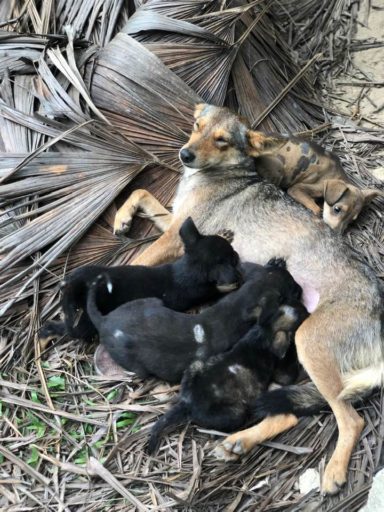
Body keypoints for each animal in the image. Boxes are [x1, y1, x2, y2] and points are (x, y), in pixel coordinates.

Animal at [39, 216, 240, 344]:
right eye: (232, 257)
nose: (237, 254)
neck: (186, 268)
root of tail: (73, 286)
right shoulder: (196, 292)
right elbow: (213, 289)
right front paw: (231, 284)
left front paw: (224, 233)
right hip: (86, 322)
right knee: (72, 331)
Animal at [85, 258, 302, 382]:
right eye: (288, 292)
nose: (301, 289)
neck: (239, 305)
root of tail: (104, 320)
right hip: (136, 366)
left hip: (149, 302)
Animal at [146, 298, 308, 454]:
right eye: (300, 315)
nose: (306, 309)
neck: (264, 332)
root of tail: (189, 403)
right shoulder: (282, 373)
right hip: (236, 413)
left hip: (195, 365)